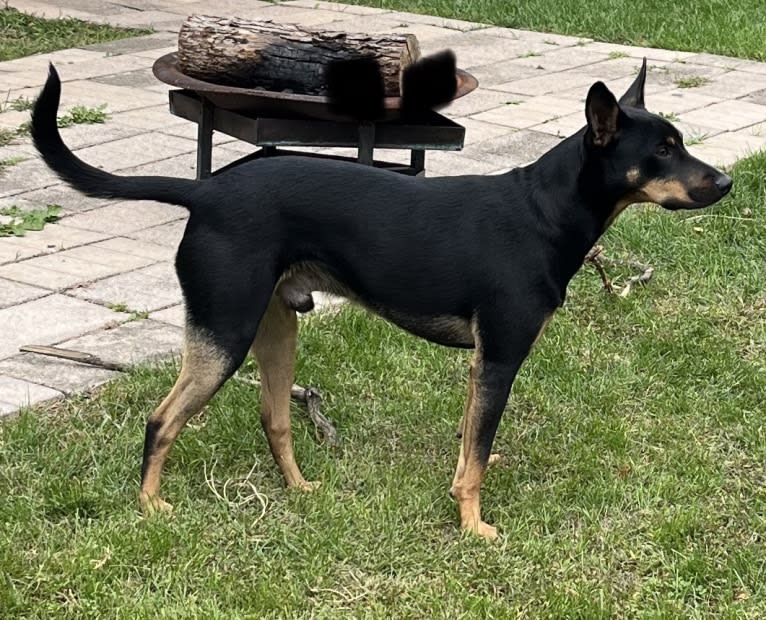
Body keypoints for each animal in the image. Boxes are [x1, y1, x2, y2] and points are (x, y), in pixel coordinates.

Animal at [33, 55, 736, 536]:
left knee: (274, 418)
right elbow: (479, 455)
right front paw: (475, 530)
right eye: (664, 149)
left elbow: (467, 444)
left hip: (276, 328)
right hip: (224, 332)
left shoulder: (481, 365)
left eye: (680, 142)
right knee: (162, 420)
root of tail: (203, 191)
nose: (727, 181)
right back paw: (152, 507)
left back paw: (303, 490)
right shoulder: (500, 359)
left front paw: (460, 508)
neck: (545, 212)